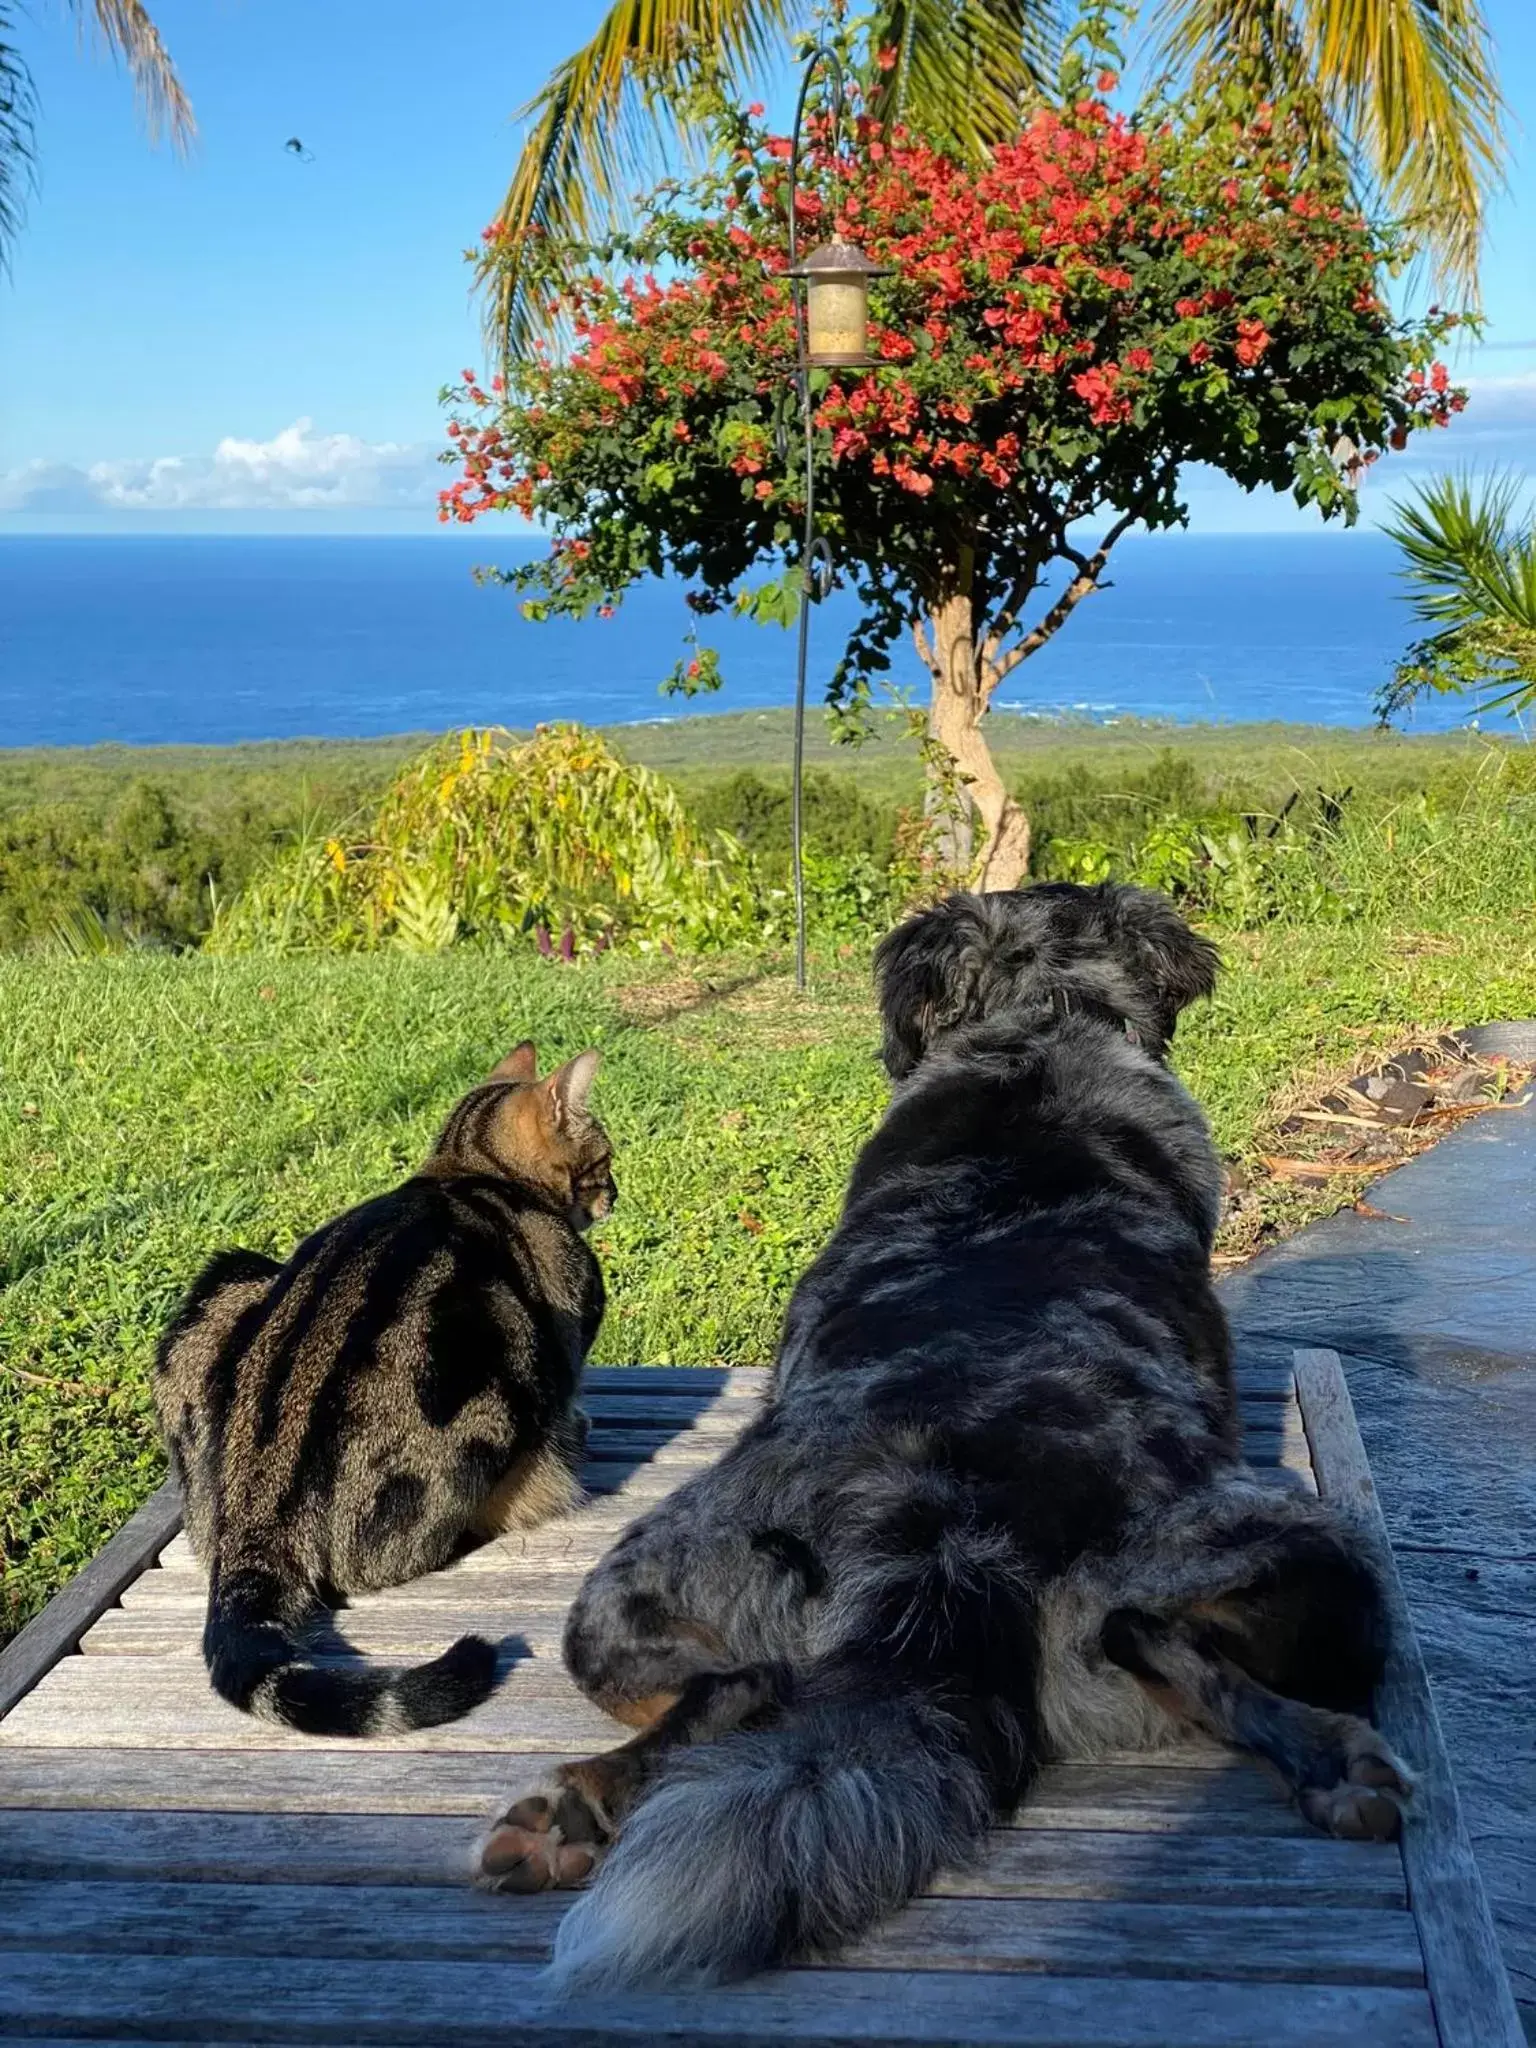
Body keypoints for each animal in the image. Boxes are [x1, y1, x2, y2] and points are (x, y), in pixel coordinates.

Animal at [151, 1048, 614, 1736]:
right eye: (605, 1158)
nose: (616, 1191)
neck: (466, 1171)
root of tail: (254, 1520)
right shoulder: (569, 1324)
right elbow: (573, 1392)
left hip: (230, 1277)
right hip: (486, 1402)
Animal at [479, 880, 1409, 1982]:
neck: (1038, 1031)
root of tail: (941, 1536)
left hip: (620, 1599)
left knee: (745, 1683)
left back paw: (575, 1807)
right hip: (1329, 1571)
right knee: (1151, 1629)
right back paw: (1334, 1758)